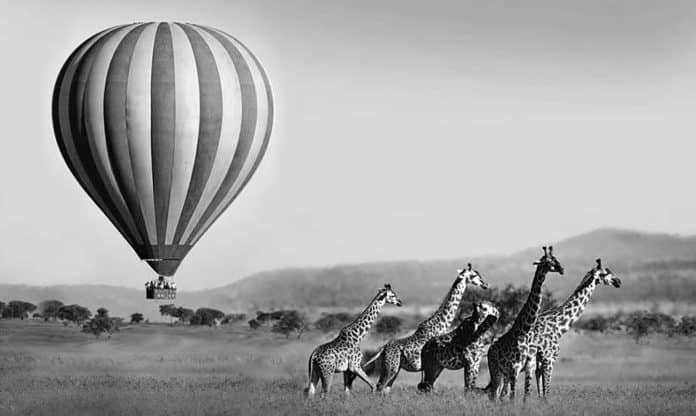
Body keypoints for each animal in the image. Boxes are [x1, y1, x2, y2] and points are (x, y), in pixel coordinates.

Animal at [364, 264, 490, 394]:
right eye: (474, 275)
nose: (485, 284)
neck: (441, 324)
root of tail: (382, 349)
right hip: (390, 368)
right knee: (379, 387)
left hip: (395, 369)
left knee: (386, 389)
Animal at [484, 245, 564, 402]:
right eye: (548, 262)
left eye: (556, 259)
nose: (562, 269)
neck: (524, 332)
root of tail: (489, 350)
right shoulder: (514, 367)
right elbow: (513, 397)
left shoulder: (529, 366)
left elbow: (525, 396)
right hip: (496, 371)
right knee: (494, 395)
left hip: (504, 374)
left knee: (500, 394)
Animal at [520, 256, 620, 400]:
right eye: (605, 273)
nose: (618, 281)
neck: (558, 325)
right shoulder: (548, 359)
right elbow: (546, 392)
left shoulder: (540, 361)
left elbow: (541, 391)